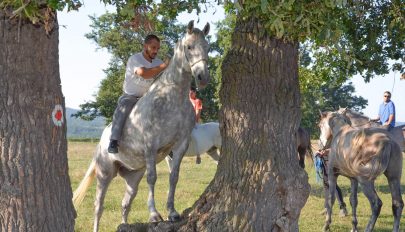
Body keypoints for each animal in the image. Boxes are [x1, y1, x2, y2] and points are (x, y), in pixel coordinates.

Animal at [72, 20, 210, 231]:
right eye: (189, 47)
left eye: (208, 47)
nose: (203, 78)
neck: (173, 99)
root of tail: (101, 141)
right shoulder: (151, 146)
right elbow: (152, 178)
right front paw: (154, 215)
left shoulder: (180, 145)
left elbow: (174, 177)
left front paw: (172, 212)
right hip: (104, 174)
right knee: (98, 206)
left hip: (133, 177)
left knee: (125, 204)